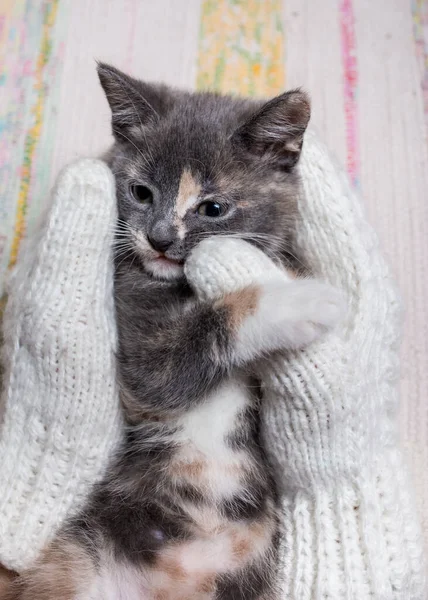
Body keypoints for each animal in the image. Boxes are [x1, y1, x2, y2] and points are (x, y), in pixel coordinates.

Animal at [5, 65, 342, 600]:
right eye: (141, 192)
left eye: (214, 208)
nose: (160, 238)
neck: (178, 285)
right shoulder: (140, 342)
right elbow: (184, 351)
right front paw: (300, 301)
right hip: (78, 559)